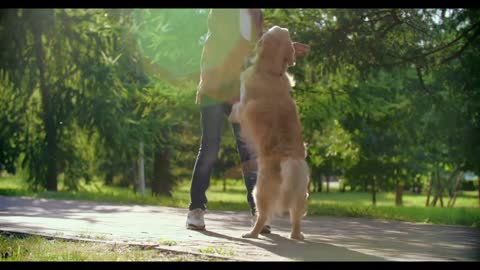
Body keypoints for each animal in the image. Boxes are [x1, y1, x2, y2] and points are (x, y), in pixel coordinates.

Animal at [230, 25, 312, 240]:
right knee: (295, 217)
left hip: (259, 191)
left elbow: (236, 107)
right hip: (300, 193)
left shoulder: (243, 104)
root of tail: (289, 159)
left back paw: (251, 233)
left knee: (262, 215)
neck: (272, 72)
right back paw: (296, 235)